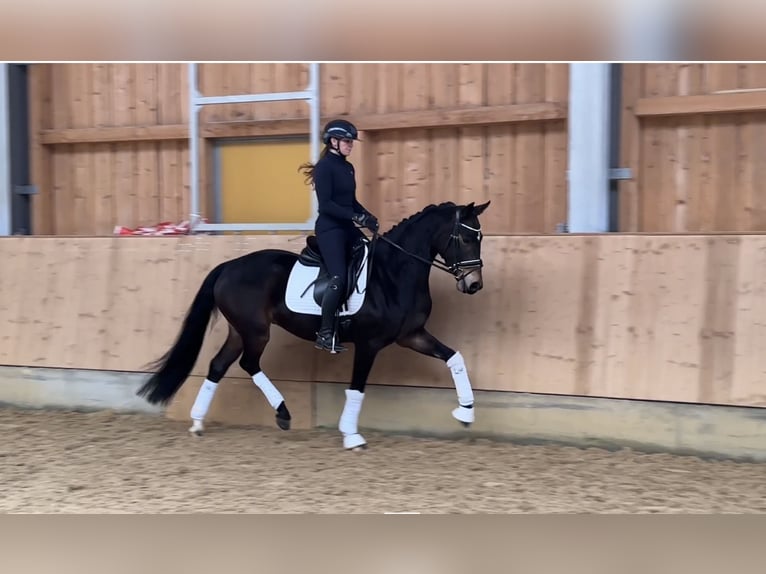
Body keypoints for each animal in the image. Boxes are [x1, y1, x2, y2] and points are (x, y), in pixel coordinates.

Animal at [137, 200, 492, 452]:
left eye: (480, 236)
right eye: (463, 237)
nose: (474, 284)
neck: (392, 274)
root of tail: (229, 266)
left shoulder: (411, 336)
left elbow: (454, 357)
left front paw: (466, 412)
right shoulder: (370, 344)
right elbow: (357, 388)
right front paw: (351, 436)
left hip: (240, 330)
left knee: (218, 365)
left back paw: (198, 422)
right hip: (256, 330)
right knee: (248, 363)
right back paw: (283, 414)